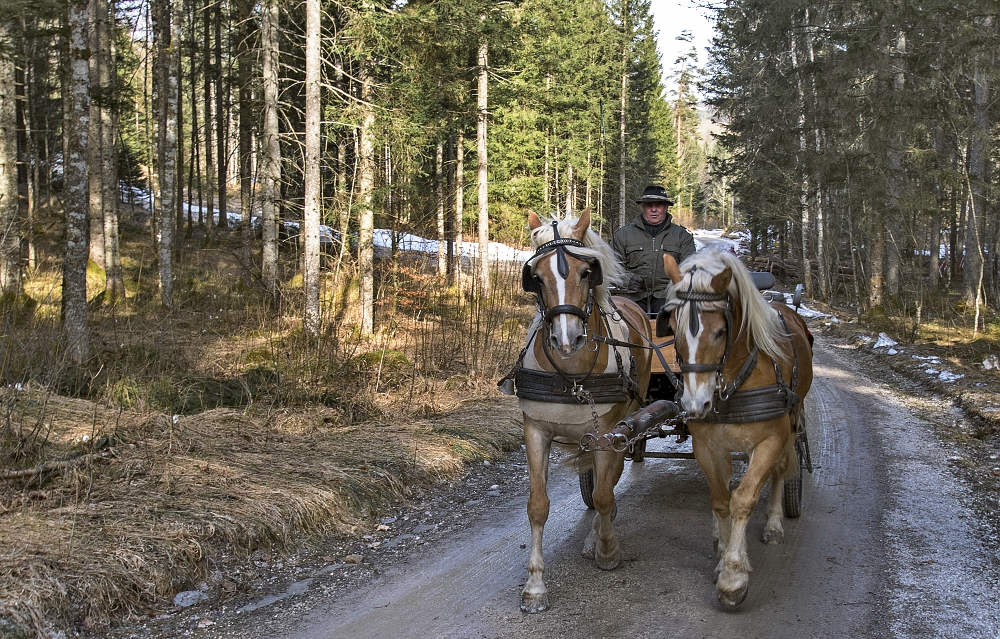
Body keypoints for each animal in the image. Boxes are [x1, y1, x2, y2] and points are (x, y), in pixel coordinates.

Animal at [508, 210, 656, 616]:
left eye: (587, 272)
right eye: (536, 276)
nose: (566, 339)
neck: (572, 374)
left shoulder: (610, 433)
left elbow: (605, 495)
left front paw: (607, 549)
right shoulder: (535, 430)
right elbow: (537, 506)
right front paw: (535, 587)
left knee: (610, 483)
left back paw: (597, 537)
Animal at [664, 250, 812, 608]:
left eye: (720, 331)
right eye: (672, 327)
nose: (694, 404)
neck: (733, 380)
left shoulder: (772, 440)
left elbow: (743, 499)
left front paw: (733, 576)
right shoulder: (706, 446)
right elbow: (721, 499)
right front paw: (723, 554)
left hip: (792, 422)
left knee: (781, 471)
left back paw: (774, 525)